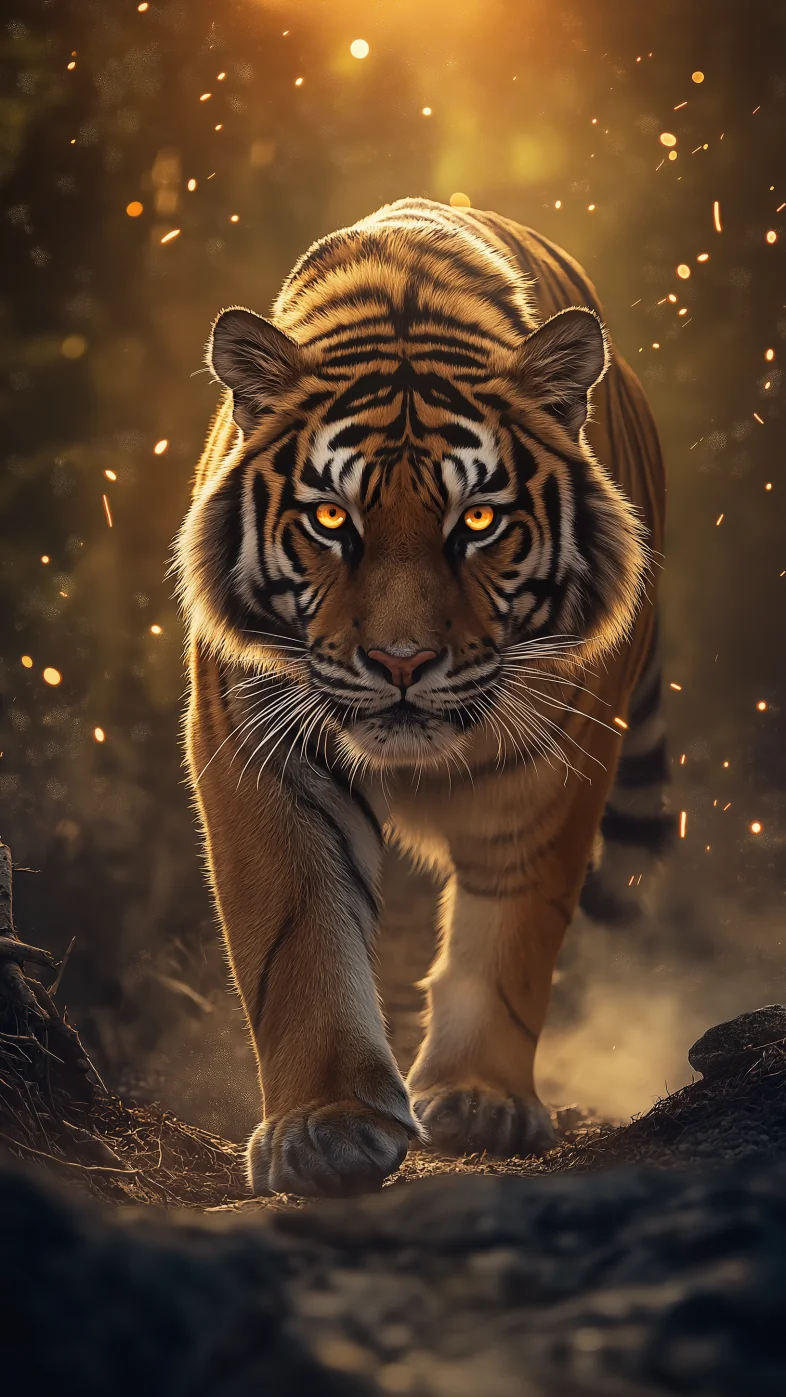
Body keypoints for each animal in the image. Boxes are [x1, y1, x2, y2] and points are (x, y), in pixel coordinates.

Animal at [175, 197, 672, 1199]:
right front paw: (325, 1125)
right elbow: (296, 933)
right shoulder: (253, 736)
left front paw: (482, 1099)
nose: (400, 661)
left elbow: (513, 931)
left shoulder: (560, 752)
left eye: (478, 520)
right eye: (332, 518)